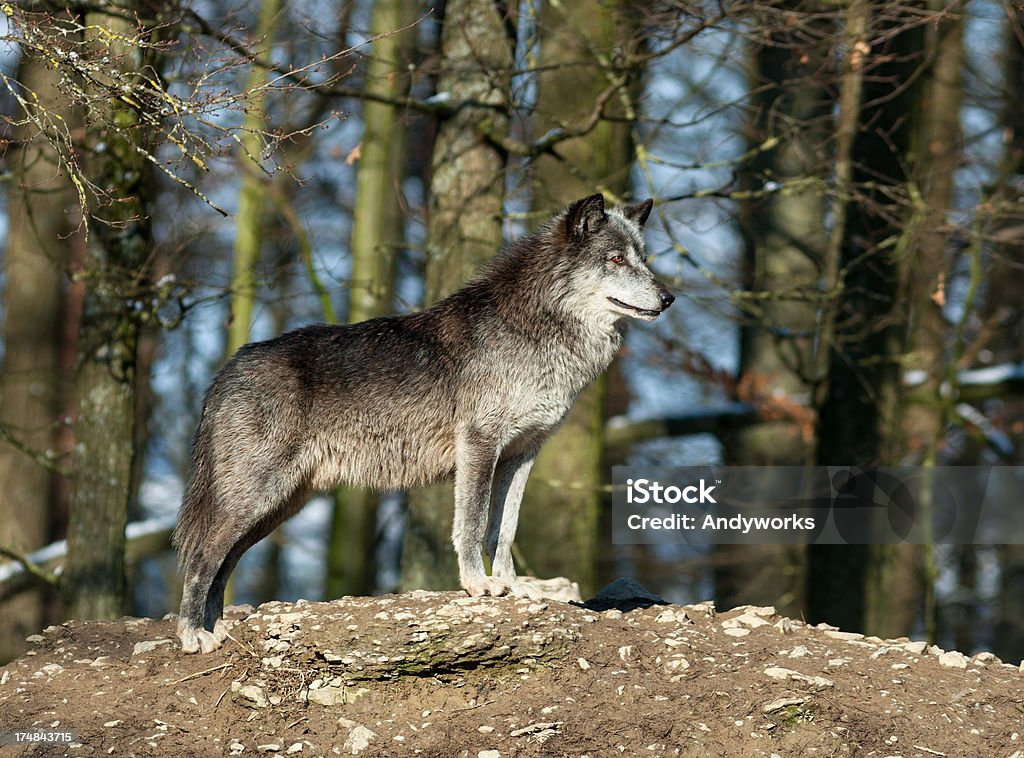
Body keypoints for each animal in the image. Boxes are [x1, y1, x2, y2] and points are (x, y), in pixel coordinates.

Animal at [174, 193, 671, 651]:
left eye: (643, 257)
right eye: (615, 258)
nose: (668, 297)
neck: (535, 329)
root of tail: (226, 370)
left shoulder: (522, 454)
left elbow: (504, 530)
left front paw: (515, 586)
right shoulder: (480, 445)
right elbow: (472, 524)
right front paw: (478, 584)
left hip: (278, 506)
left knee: (223, 563)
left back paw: (215, 628)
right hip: (255, 499)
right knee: (201, 557)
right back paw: (193, 635)